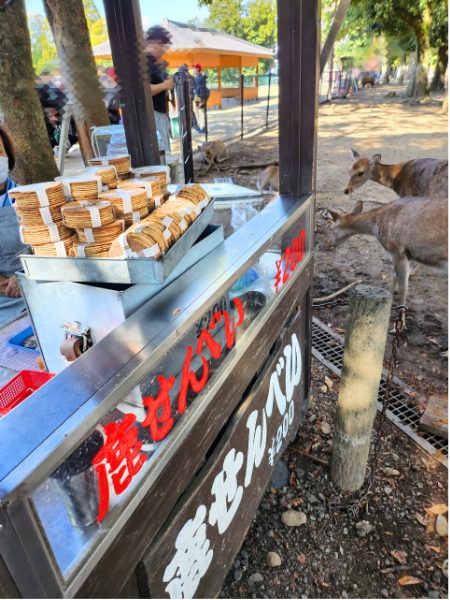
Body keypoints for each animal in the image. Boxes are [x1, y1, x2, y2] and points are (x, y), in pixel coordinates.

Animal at [328, 196, 448, 328]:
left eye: (331, 228)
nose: (328, 244)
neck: (377, 224)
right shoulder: (409, 255)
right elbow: (394, 277)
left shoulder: (398, 251)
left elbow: (403, 286)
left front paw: (400, 325)